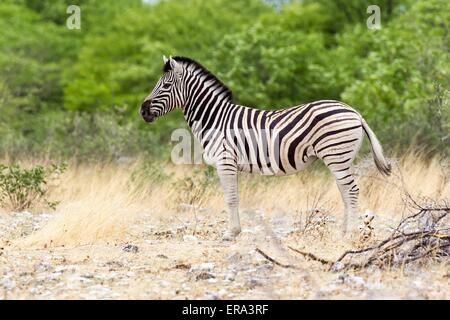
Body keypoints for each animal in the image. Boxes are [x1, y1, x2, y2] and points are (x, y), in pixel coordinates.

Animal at [141, 55, 390, 240]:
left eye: (165, 85)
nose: (142, 111)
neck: (215, 118)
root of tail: (354, 111)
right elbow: (235, 196)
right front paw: (235, 231)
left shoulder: (225, 161)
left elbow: (231, 198)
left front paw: (232, 233)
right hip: (341, 159)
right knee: (346, 192)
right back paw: (344, 232)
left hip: (336, 156)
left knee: (352, 190)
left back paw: (349, 235)